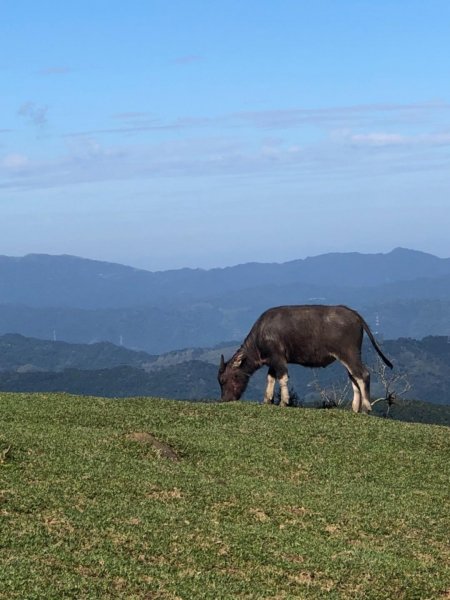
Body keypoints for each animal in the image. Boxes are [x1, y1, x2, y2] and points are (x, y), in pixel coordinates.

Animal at [217, 304, 390, 412]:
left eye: (225, 380)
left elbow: (282, 378)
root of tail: (354, 314)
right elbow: (271, 379)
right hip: (350, 357)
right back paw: (355, 409)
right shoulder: (272, 361)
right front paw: (267, 400)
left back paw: (366, 407)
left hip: (349, 353)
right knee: (354, 378)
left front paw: (284, 401)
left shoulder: (279, 358)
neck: (261, 334)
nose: (225, 399)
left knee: (363, 374)